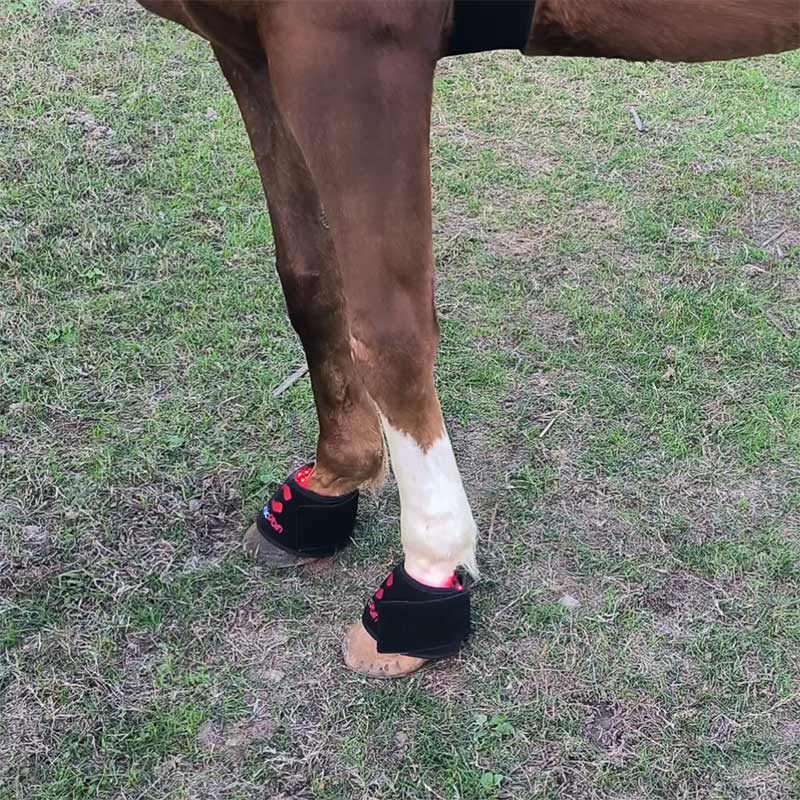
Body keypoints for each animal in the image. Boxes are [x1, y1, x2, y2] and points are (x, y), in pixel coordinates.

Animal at [134, 0, 799, 678]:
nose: (330, 478)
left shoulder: (353, 52)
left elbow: (389, 334)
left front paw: (425, 576)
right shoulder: (249, 52)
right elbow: (312, 281)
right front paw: (332, 479)